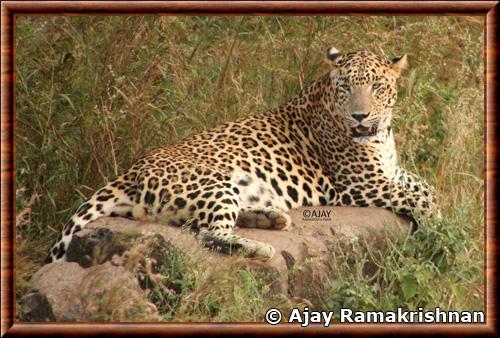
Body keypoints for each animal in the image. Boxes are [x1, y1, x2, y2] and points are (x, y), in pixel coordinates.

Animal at [46, 47, 438, 262]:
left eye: (378, 87)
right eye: (345, 88)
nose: (360, 116)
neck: (380, 134)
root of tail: (129, 172)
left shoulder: (390, 173)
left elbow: (426, 188)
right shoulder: (359, 184)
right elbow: (423, 198)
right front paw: (437, 230)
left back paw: (272, 218)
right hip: (212, 181)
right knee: (208, 234)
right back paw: (260, 247)